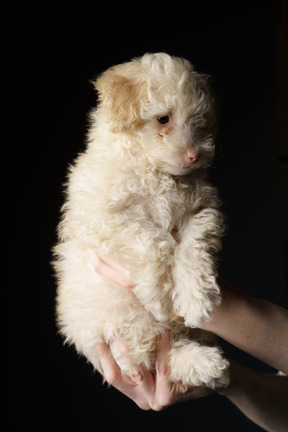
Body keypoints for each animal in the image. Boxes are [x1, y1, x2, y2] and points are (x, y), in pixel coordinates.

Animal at [53, 52, 230, 390]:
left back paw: (210, 364)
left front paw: (195, 299)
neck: (156, 171)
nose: (194, 156)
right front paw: (161, 298)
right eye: (163, 119)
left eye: (199, 122)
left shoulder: (202, 210)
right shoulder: (102, 218)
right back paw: (205, 363)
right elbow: (155, 243)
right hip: (123, 324)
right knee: (157, 356)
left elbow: (192, 249)